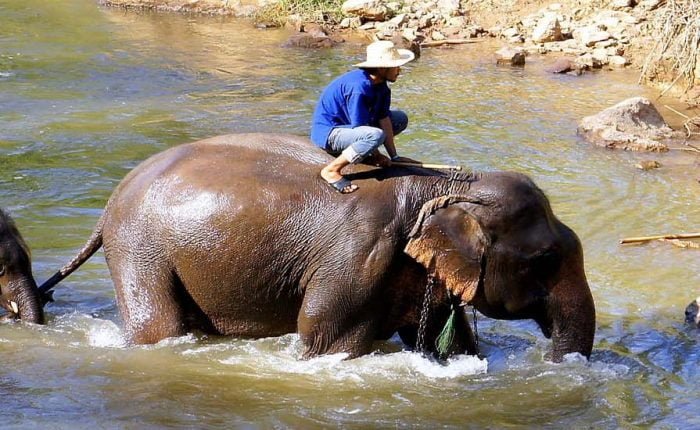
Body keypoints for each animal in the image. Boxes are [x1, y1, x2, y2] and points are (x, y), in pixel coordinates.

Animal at [31, 133, 595, 362]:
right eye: (544, 260)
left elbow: (447, 342)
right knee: (158, 327)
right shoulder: (358, 256)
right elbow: (326, 338)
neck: (441, 187)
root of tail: (112, 201)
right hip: (139, 249)